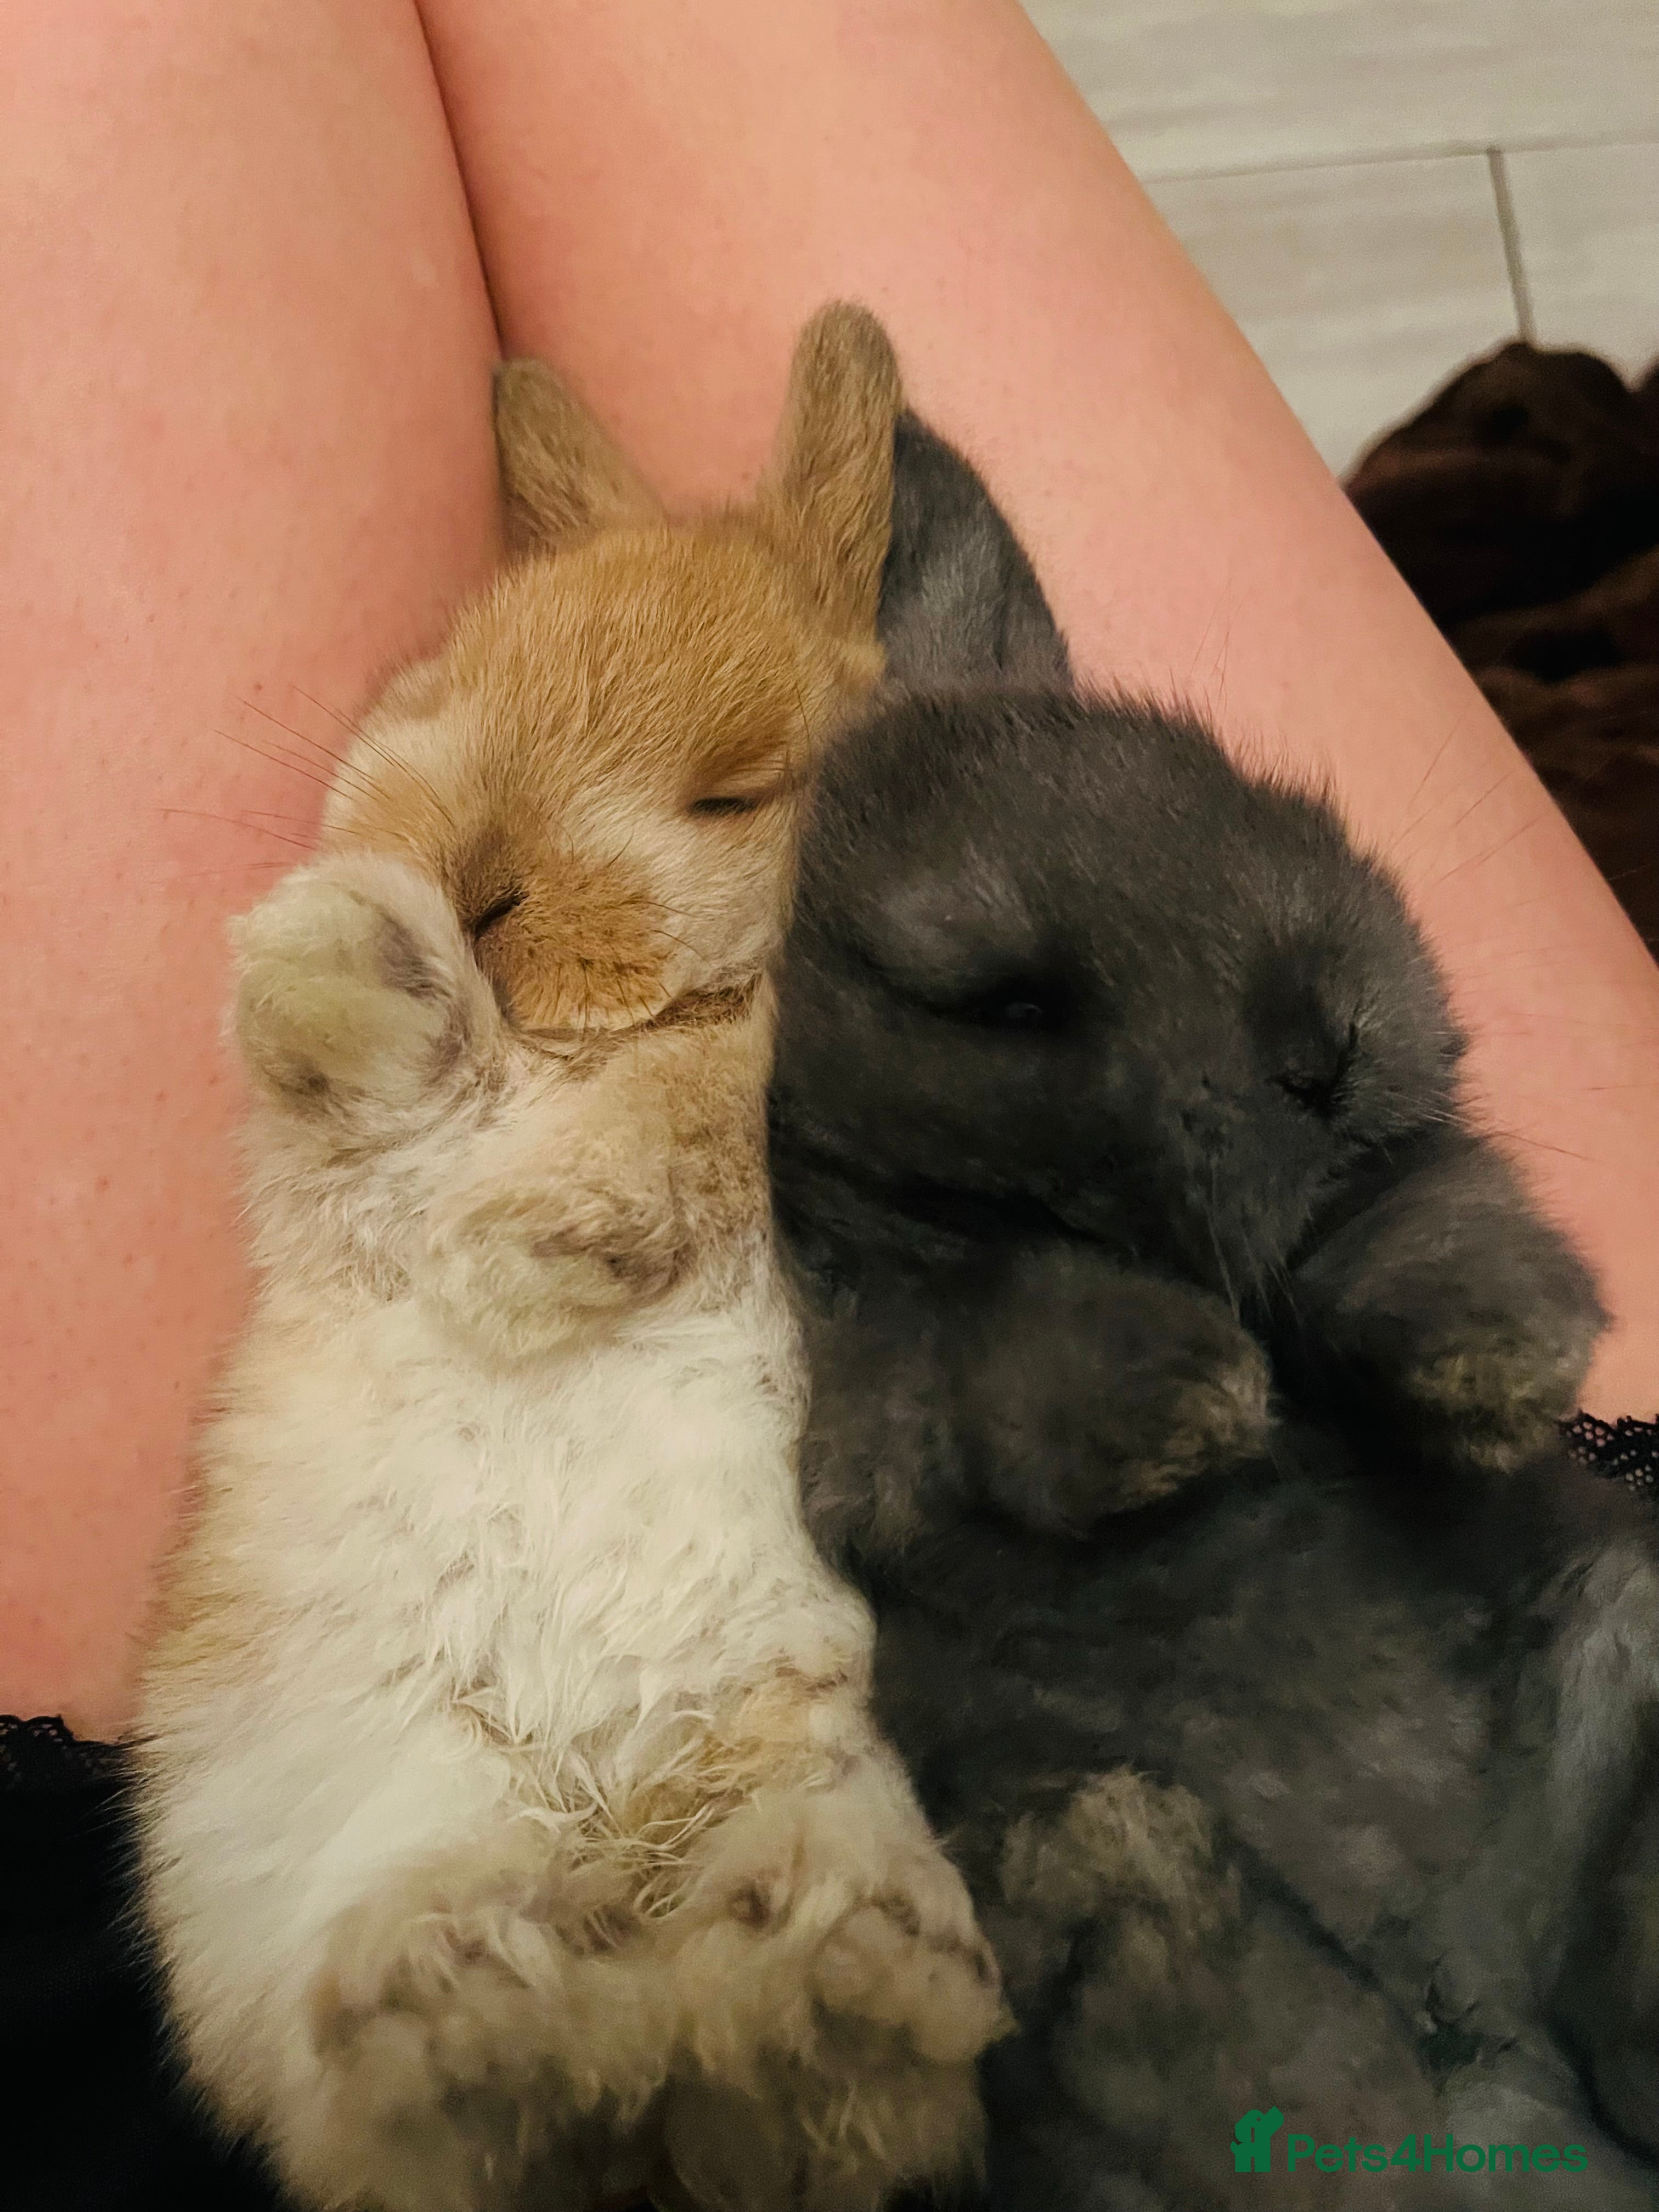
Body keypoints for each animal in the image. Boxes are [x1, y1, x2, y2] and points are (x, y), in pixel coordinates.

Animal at [132, 315, 1003, 2212]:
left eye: (736, 790)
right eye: (446, 675)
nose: (471, 883)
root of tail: (626, 1852)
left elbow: (707, 1105)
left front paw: (528, 1247)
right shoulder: (347, 1190)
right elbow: (396, 1113)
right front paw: (340, 959)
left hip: (816, 1753)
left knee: (799, 2081)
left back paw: (829, 1976)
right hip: (353, 1805)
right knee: (411, 2100)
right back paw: (472, 2006)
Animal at [766, 413, 1659, 2209]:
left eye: (1225, 781)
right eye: (1000, 1001)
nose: (1327, 1045)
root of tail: (1484, 2028)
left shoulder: (1387, 1194)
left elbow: (1415, 1223)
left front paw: (1506, 1359)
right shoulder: (864, 1389)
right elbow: (1000, 1323)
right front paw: (1190, 1401)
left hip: (1631, 1640)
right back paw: (1134, 1870)